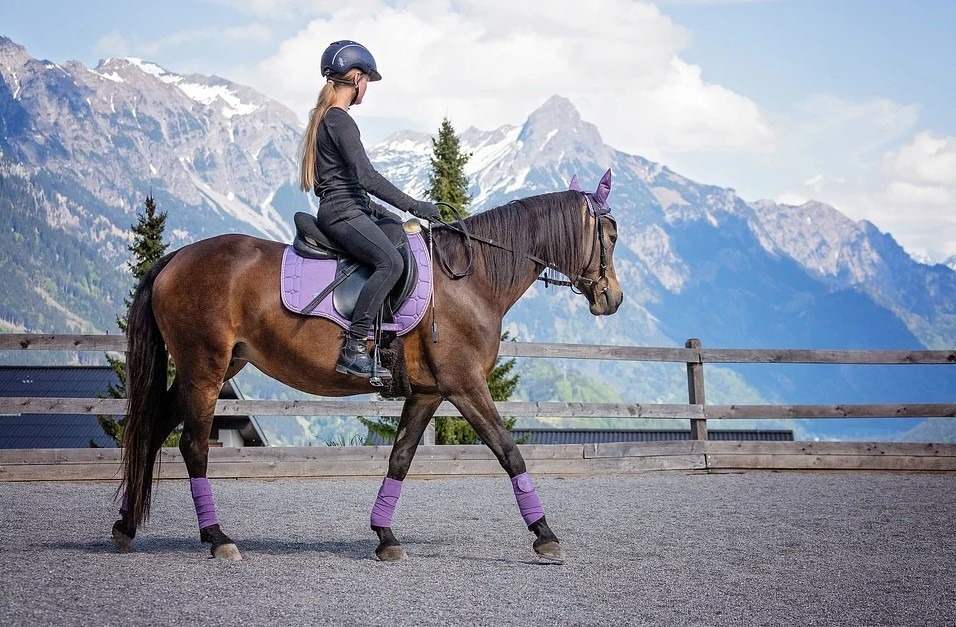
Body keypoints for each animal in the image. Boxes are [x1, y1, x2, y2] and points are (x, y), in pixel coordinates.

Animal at [113, 170, 623, 562]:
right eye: (612, 236)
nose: (613, 299)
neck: (470, 279)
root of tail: (177, 257)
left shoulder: (429, 392)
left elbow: (400, 459)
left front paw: (385, 537)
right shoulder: (465, 385)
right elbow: (508, 451)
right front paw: (545, 535)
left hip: (214, 367)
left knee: (153, 430)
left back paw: (126, 526)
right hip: (205, 367)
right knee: (193, 447)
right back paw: (217, 539)